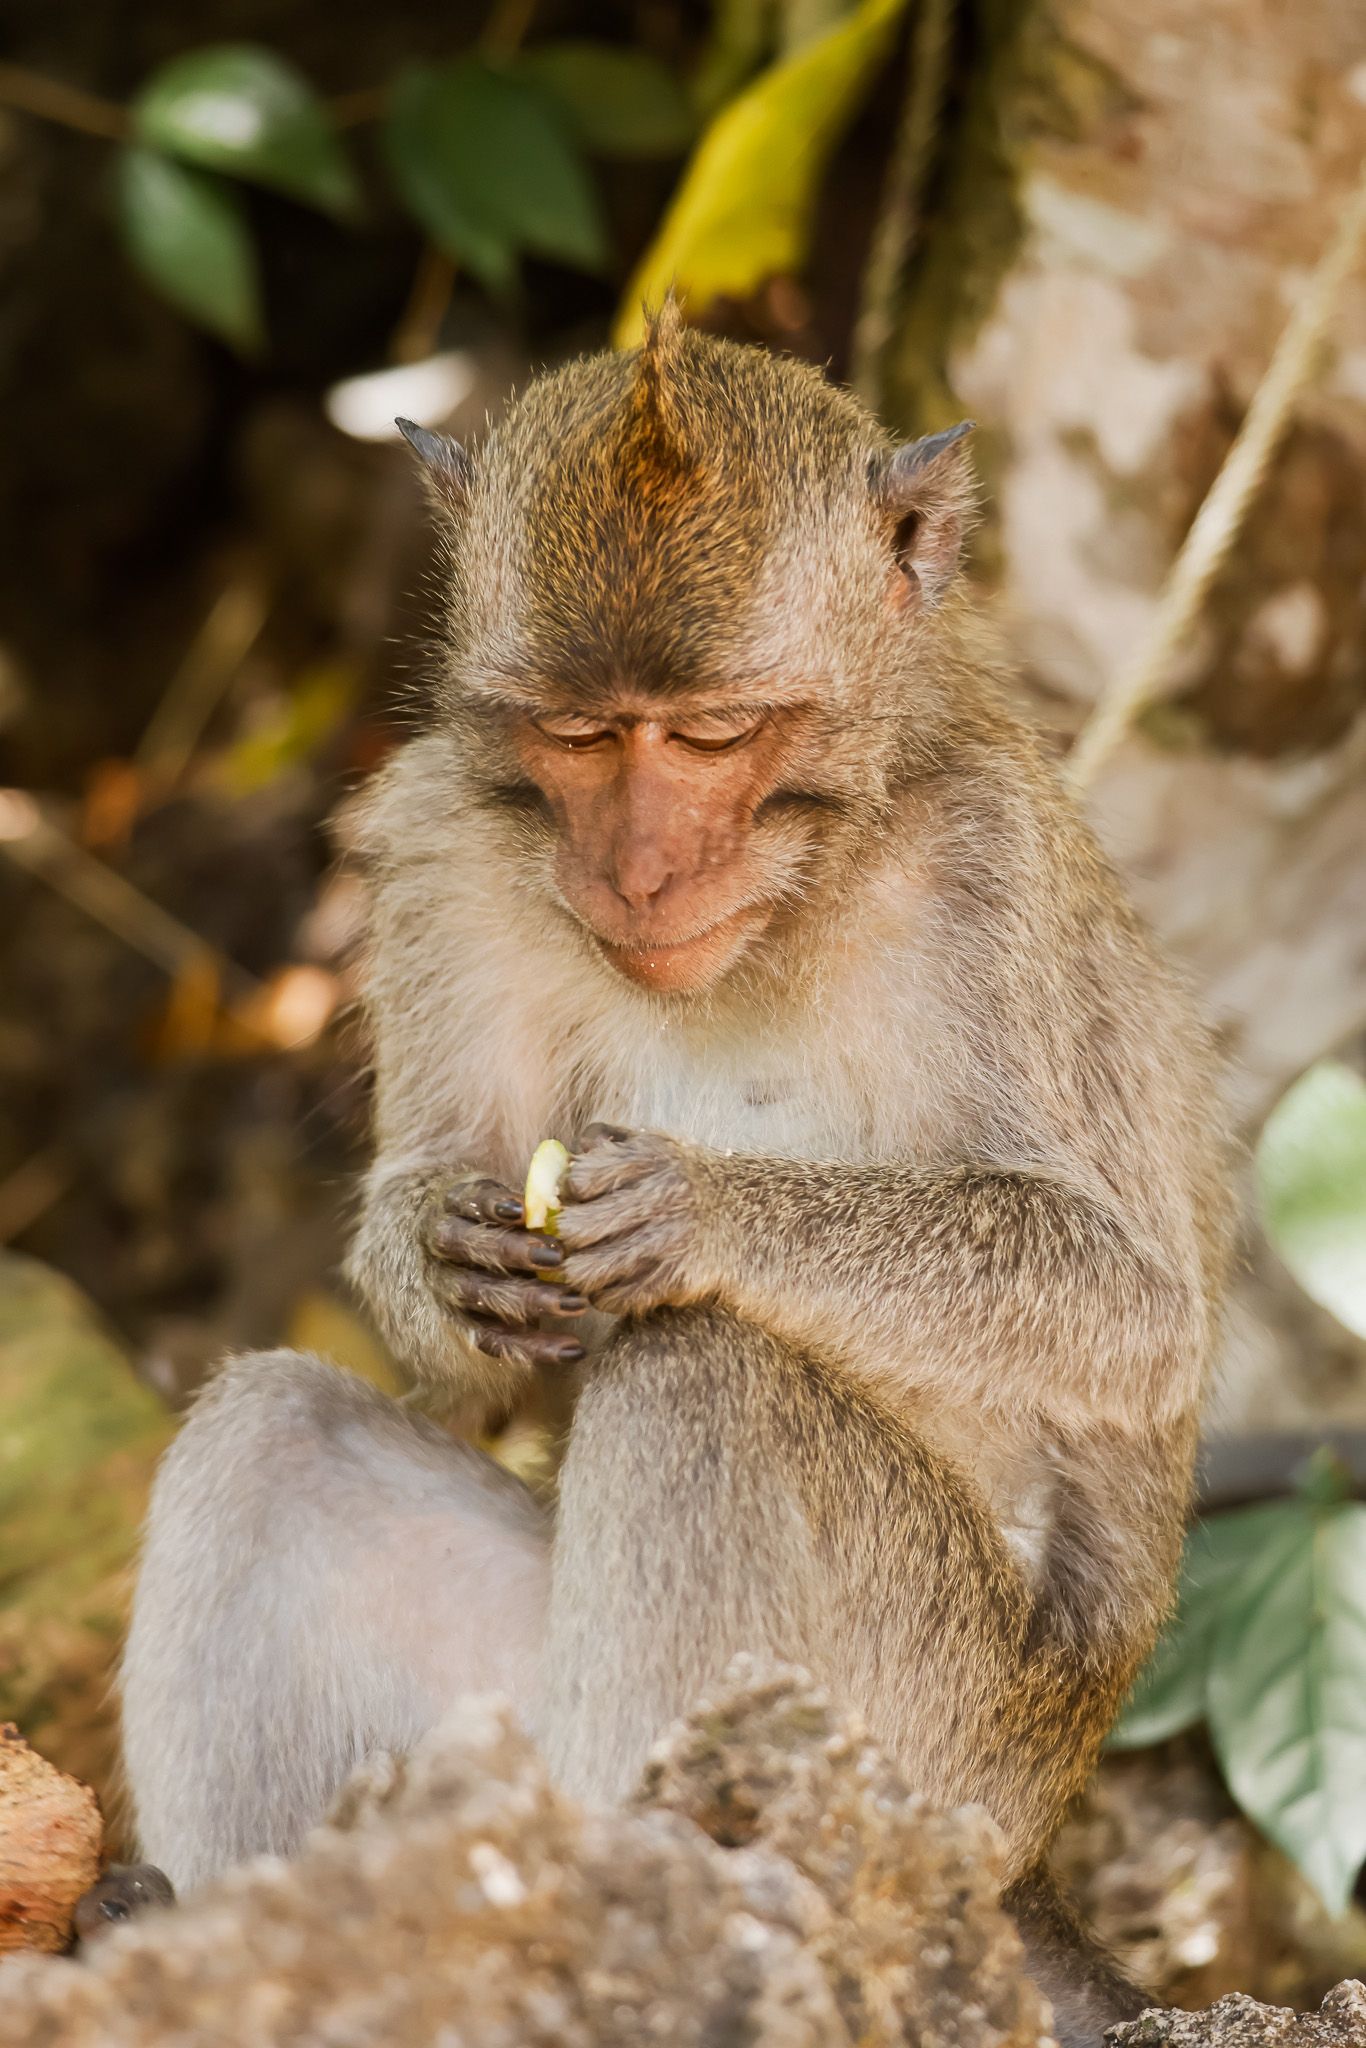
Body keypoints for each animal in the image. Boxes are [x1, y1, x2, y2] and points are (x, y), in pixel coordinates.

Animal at [119, 302, 1231, 2045]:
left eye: (712, 736)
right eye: (578, 738)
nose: (636, 869)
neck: (801, 884)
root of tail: (1030, 1864)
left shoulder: (987, 870)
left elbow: (1128, 1307)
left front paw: (701, 1212)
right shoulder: (446, 833)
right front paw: (454, 1259)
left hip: (919, 1747)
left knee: (708, 1370)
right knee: (274, 1428)